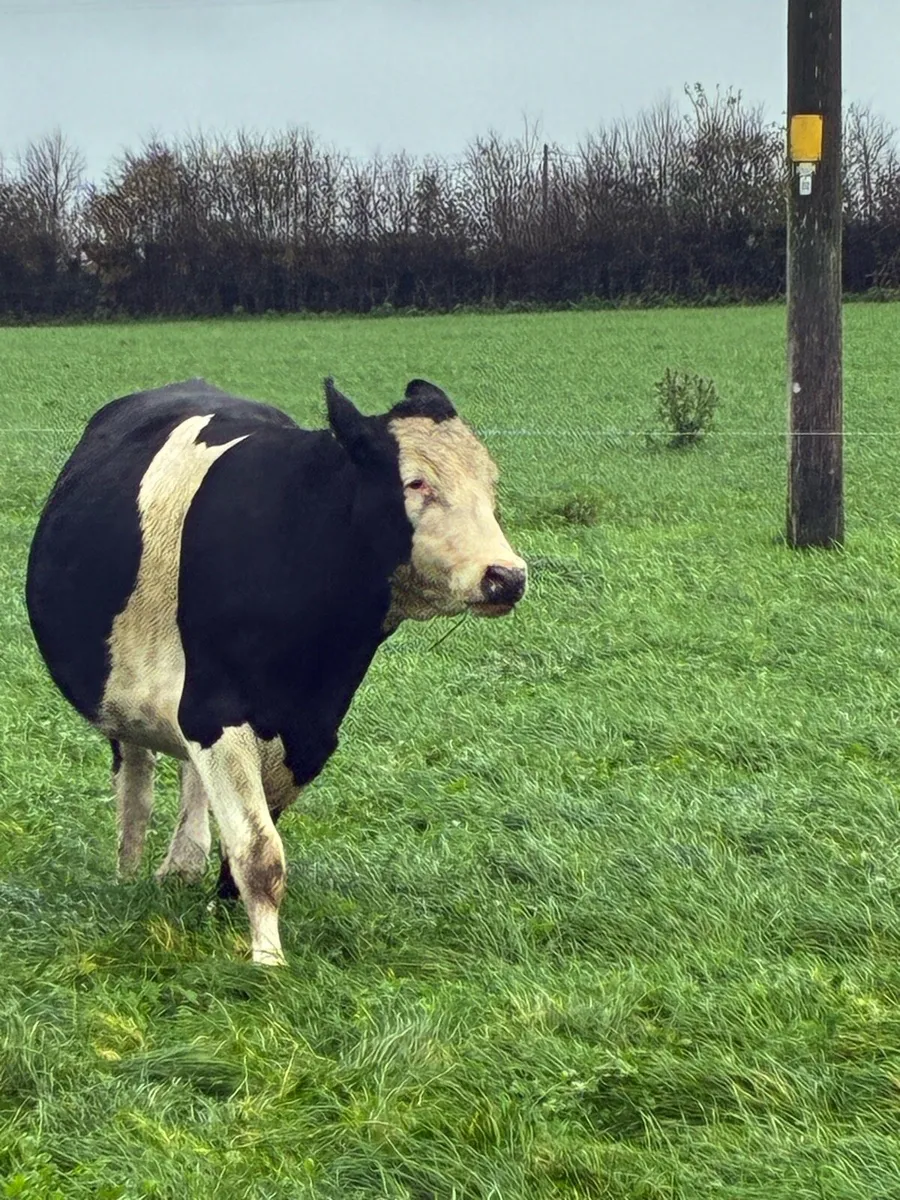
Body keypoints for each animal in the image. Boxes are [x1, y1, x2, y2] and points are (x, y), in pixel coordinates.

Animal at [24, 376, 526, 965]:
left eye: (490, 482)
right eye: (416, 481)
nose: (506, 576)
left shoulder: (309, 733)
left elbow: (247, 843)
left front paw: (223, 914)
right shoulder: (213, 712)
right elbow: (260, 851)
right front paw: (268, 961)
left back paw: (182, 864)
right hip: (122, 694)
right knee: (136, 781)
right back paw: (128, 872)